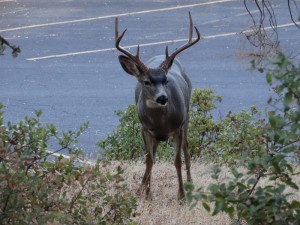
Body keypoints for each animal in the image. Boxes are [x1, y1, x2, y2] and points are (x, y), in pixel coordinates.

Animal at [116, 12, 200, 199]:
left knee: (186, 149)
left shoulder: (178, 128)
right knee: (154, 153)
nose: (163, 98)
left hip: (187, 115)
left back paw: (190, 182)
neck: (161, 122)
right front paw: (146, 194)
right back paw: (143, 188)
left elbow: (177, 161)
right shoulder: (145, 128)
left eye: (166, 80)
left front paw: (181, 196)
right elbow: (149, 160)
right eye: (147, 82)